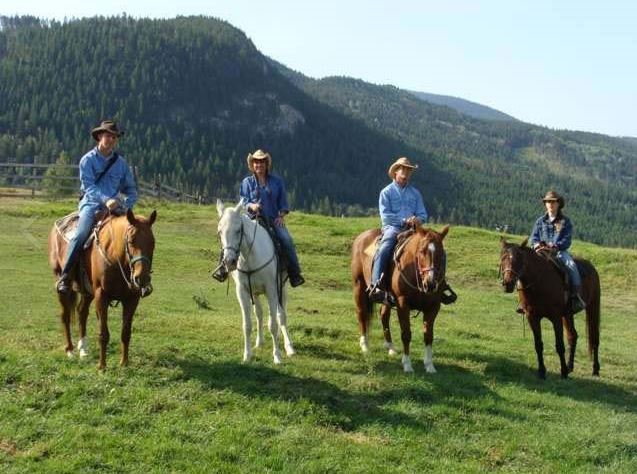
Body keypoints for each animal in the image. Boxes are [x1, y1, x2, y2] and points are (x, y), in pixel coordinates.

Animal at [47, 210, 156, 370]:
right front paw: (102, 367)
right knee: (65, 316)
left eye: (152, 242)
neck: (115, 257)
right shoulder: (101, 296)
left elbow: (126, 333)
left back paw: (83, 350)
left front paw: (124, 363)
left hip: (87, 291)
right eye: (131, 241)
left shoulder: (132, 300)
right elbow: (103, 334)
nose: (141, 278)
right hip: (62, 284)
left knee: (82, 312)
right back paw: (70, 350)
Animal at [214, 199, 294, 362]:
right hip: (255, 293)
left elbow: (273, 324)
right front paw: (247, 355)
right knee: (259, 313)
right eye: (219, 232)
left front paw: (277, 356)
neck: (250, 255)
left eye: (238, 230)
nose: (229, 262)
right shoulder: (242, 292)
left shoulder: (271, 290)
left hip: (281, 289)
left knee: (281, 316)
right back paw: (259, 342)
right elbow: (247, 325)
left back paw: (289, 347)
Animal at [350, 226, 450, 374]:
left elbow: (428, 335)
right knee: (361, 313)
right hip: (359, 285)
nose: (431, 283)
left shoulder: (433, 306)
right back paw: (365, 345)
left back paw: (390, 347)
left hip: (386, 298)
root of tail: (361, 236)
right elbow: (406, 334)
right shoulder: (403, 303)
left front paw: (429, 365)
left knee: (384, 315)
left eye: (441, 252)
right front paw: (407, 365)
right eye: (422, 251)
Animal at [500, 239, 600, 380]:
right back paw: (570, 367)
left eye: (519, 259)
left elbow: (559, 345)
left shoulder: (555, 318)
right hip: (568, 314)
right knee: (572, 336)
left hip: (593, 306)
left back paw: (595, 369)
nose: (507, 284)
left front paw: (563, 372)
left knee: (594, 337)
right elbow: (538, 345)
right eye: (502, 258)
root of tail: (591, 266)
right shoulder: (532, 317)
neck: (539, 282)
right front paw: (542, 371)